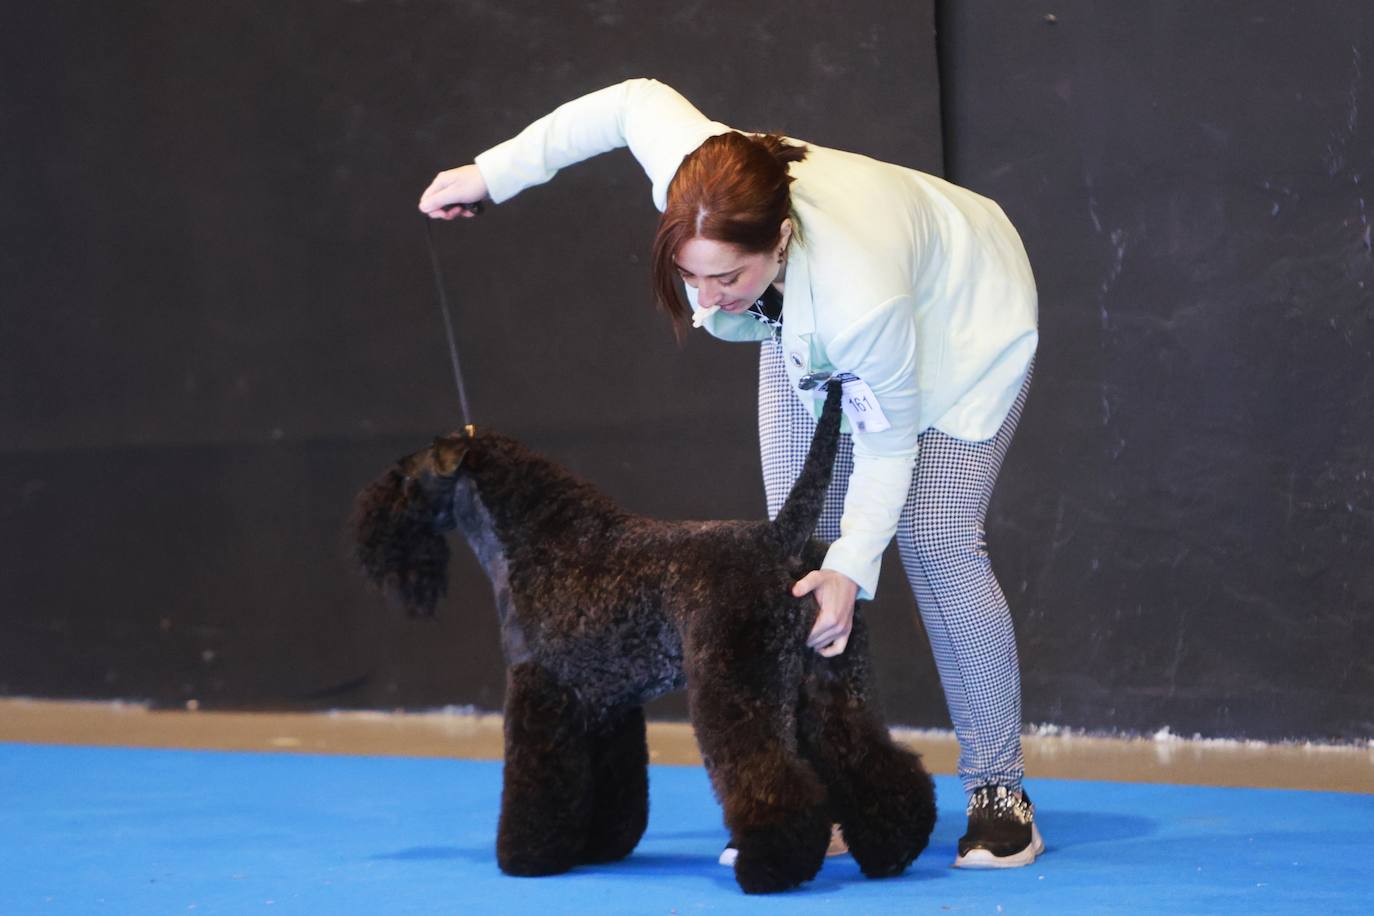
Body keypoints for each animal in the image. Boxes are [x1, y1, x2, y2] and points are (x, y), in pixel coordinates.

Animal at [351, 384, 934, 889]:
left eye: (403, 478)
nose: (366, 527)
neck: (542, 541)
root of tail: (781, 543)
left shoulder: (539, 688)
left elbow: (536, 779)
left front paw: (526, 855)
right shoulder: (605, 703)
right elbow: (611, 782)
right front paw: (598, 846)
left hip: (735, 689)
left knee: (771, 776)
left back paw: (770, 866)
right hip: (829, 685)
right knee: (871, 759)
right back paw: (893, 847)